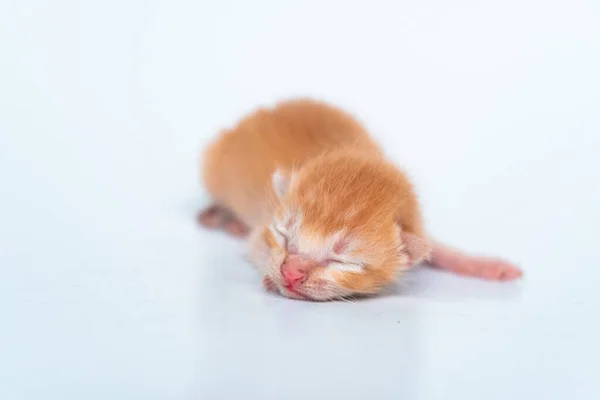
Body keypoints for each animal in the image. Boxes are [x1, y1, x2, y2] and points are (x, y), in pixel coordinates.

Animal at [198, 99, 520, 300]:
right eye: (284, 235)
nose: (290, 273)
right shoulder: (262, 228)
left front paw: (487, 265)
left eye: (341, 260)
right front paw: (269, 276)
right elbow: (256, 246)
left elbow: (439, 248)